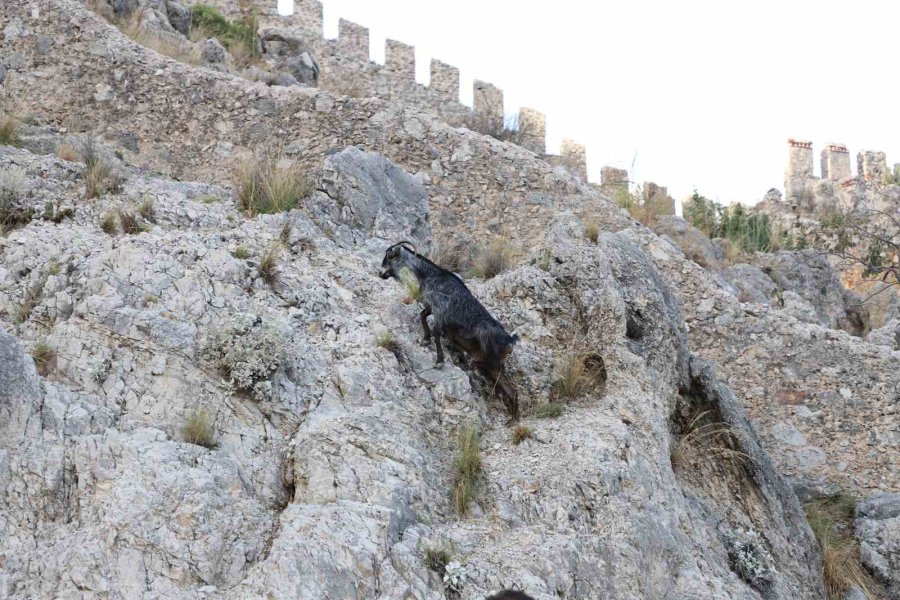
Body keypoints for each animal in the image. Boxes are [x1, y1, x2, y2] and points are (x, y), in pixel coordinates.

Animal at [380, 241, 520, 420]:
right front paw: (425, 339)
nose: (380, 273)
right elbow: (423, 315)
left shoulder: (440, 312)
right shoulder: (431, 306)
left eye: (390, 256)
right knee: (511, 391)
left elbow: (436, 331)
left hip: (486, 360)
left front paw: (439, 361)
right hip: (494, 368)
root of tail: (510, 342)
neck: (429, 274)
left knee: (479, 370)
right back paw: (514, 420)